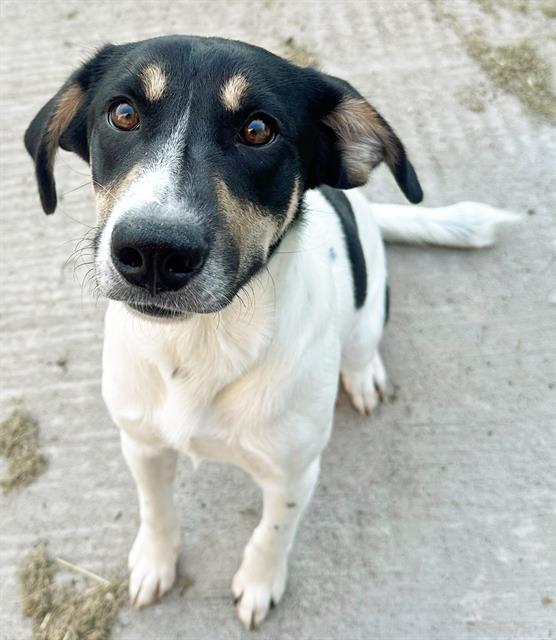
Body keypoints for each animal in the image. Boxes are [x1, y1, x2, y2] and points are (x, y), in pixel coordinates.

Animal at [22, 33, 516, 624]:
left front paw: (259, 583)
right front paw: (155, 561)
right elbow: (156, 509)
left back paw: (364, 376)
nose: (154, 253)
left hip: (368, 312)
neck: (201, 342)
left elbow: (271, 533)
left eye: (258, 130)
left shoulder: (293, 473)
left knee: (362, 346)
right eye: (123, 113)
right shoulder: (140, 442)